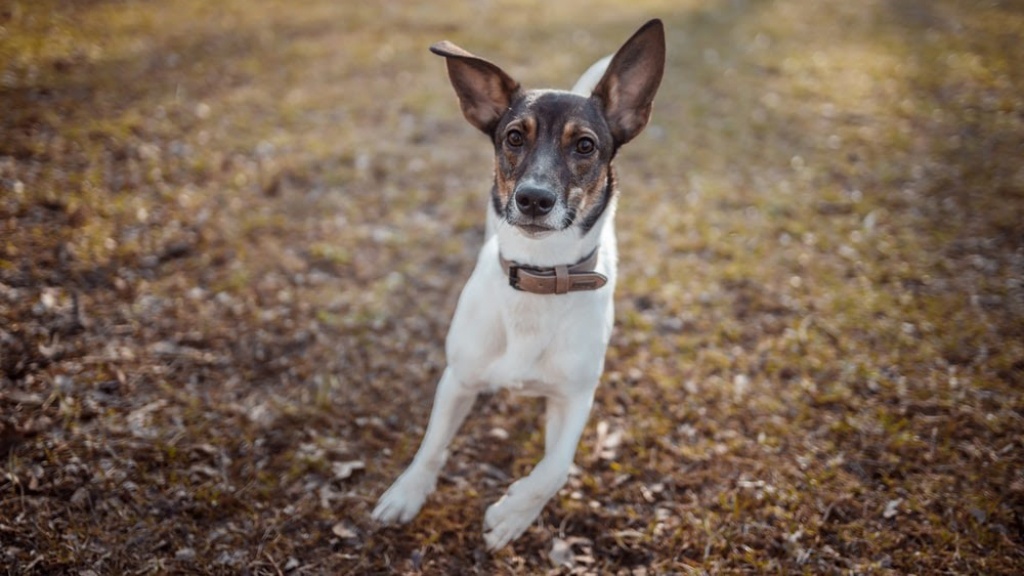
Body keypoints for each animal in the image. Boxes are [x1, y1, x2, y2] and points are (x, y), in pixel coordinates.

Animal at [372, 16, 667, 545]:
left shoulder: (575, 397)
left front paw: (512, 514)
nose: (533, 199)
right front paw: (408, 492)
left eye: (585, 145)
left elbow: (555, 469)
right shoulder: (458, 378)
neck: (537, 275)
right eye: (514, 137)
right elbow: (431, 445)